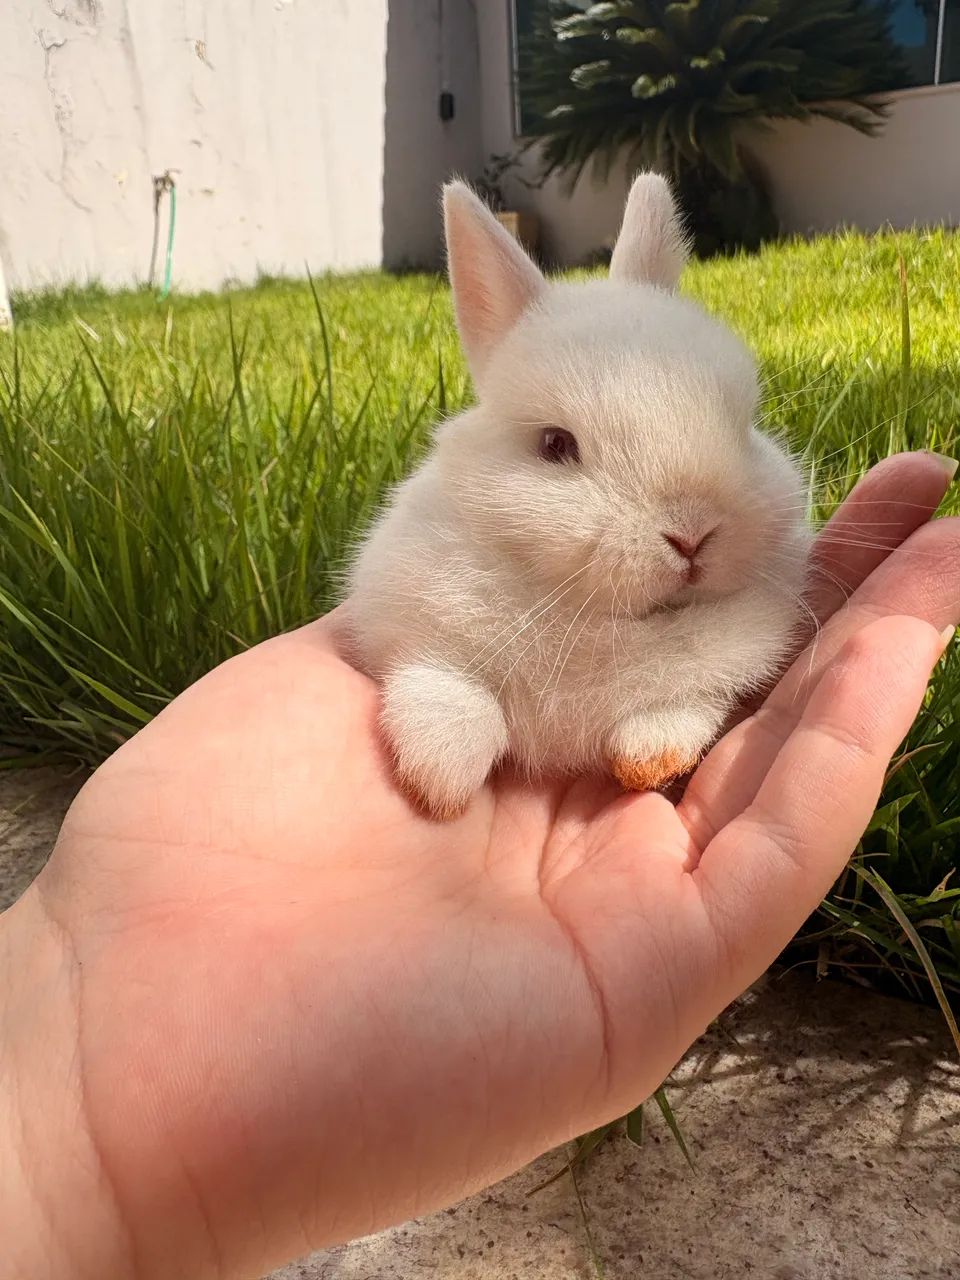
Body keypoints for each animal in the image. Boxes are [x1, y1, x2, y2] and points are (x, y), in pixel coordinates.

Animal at [344, 173, 812, 820]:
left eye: (744, 424)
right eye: (555, 444)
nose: (693, 532)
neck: (585, 613)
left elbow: (680, 709)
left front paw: (647, 761)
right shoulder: (419, 631)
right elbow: (450, 690)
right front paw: (439, 781)